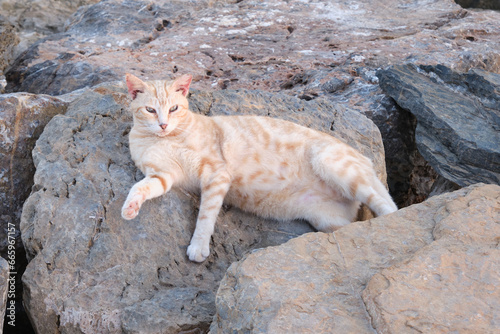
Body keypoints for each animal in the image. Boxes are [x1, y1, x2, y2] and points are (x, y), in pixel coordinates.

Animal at [122, 74, 398, 262]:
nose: (163, 124)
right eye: (150, 110)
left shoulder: (216, 174)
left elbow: (205, 216)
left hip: (333, 164)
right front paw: (130, 208)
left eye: (174, 108)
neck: (162, 139)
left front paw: (198, 247)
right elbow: (140, 187)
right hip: (328, 221)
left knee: (388, 206)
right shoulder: (162, 175)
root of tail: (366, 158)